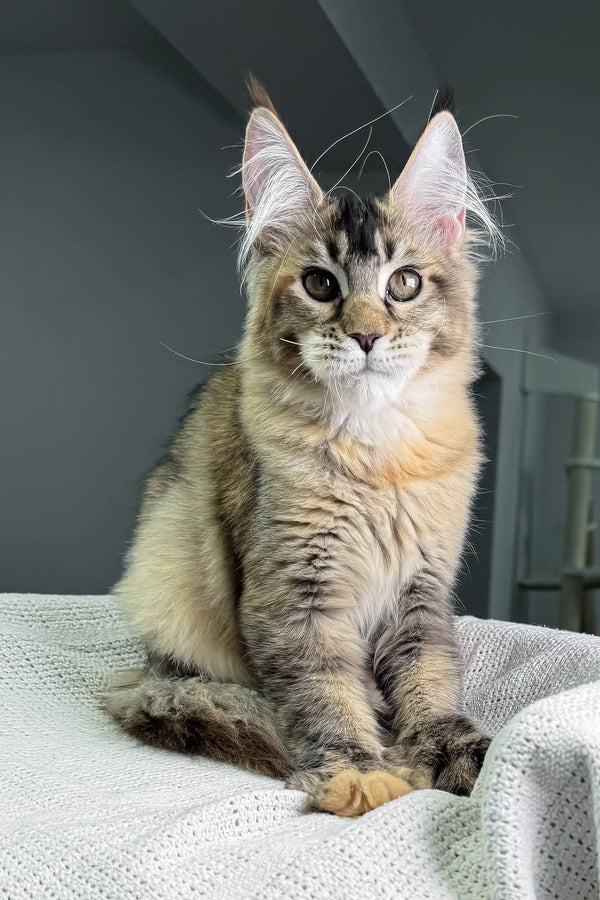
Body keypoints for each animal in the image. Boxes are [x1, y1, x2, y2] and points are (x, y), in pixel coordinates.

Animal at [104, 82, 496, 816]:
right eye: (320, 285)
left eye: (404, 284)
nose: (368, 336)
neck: (376, 456)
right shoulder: (294, 596)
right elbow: (324, 692)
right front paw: (359, 772)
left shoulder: (421, 595)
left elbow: (431, 684)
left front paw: (457, 750)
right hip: (166, 570)